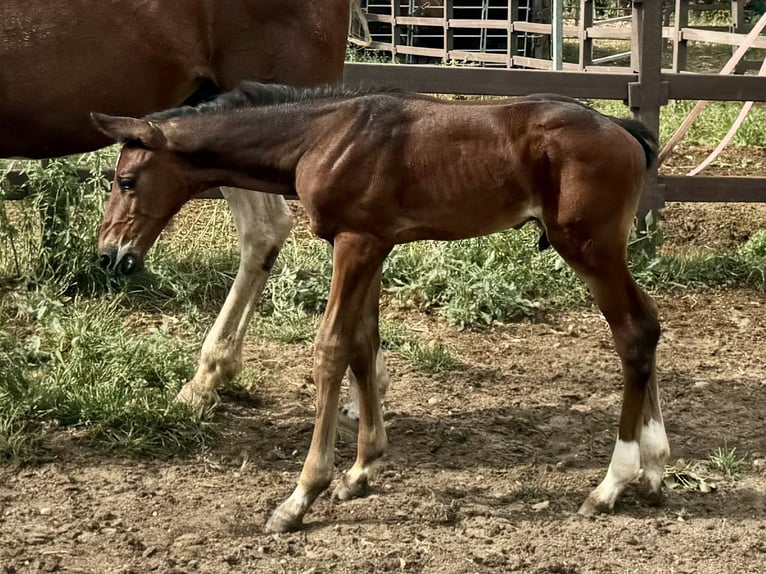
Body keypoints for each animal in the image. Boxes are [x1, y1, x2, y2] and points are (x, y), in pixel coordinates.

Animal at [88, 82, 664, 536]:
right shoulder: (372, 244)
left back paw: (611, 484)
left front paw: (300, 497)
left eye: (125, 181)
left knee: (633, 333)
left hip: (589, 248)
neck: (322, 136)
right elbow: (364, 344)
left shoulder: (356, 243)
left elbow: (331, 349)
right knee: (650, 324)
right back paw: (655, 466)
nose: (110, 255)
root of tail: (622, 129)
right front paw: (361, 471)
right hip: (602, 252)